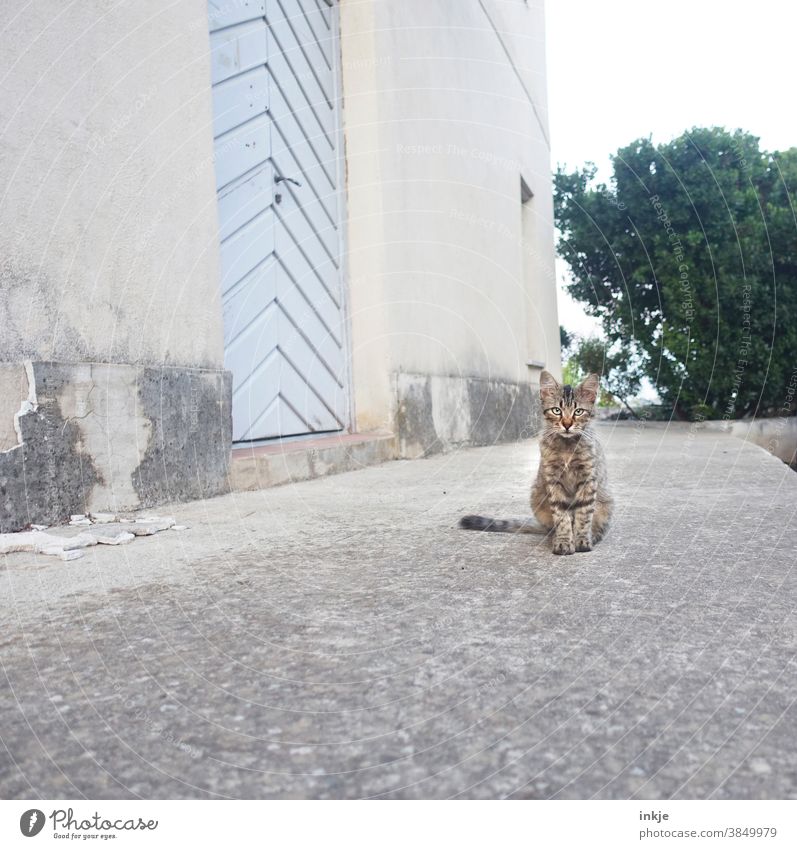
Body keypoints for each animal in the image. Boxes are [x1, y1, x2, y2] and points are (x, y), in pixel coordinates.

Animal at [458, 368, 612, 552]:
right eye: (557, 411)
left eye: (578, 412)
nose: (567, 424)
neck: (567, 447)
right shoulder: (553, 480)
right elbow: (562, 516)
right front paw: (563, 541)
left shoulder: (587, 479)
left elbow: (583, 515)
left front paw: (581, 540)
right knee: (552, 526)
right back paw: (554, 536)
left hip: (605, 502)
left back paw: (592, 535)